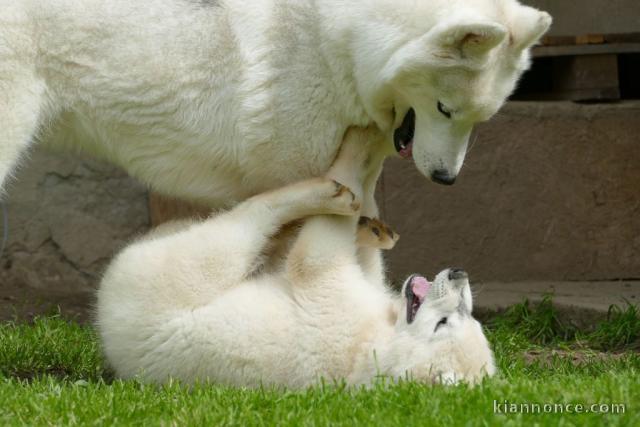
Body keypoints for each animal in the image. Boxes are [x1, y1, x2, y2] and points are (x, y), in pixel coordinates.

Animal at [96, 128, 496, 388]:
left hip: (157, 282)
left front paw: (357, 154)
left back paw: (323, 192)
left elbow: (313, 260)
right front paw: (370, 220)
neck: (377, 345)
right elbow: (367, 271)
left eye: (443, 323)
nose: (458, 274)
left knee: (231, 236)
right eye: (467, 314)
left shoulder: (341, 321)